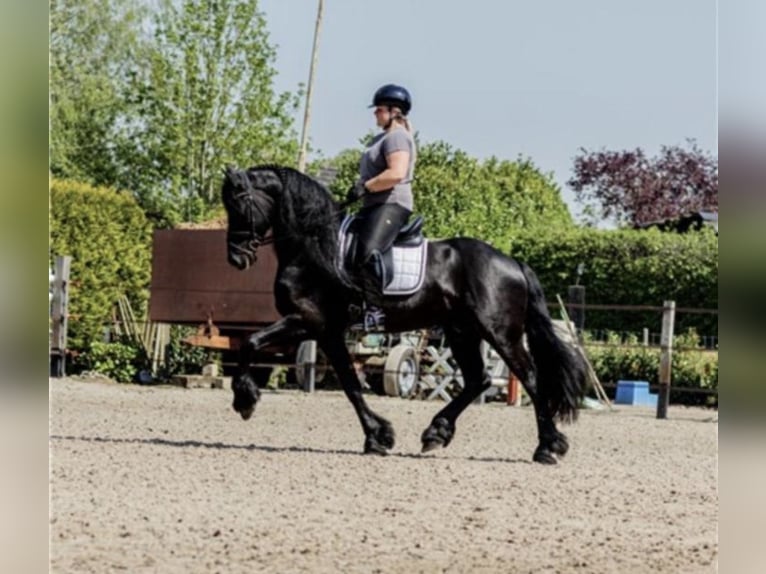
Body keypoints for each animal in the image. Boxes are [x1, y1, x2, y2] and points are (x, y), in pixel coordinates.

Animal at [222, 164, 588, 466]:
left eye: (239, 204)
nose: (236, 259)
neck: (312, 248)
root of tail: (512, 262)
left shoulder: (308, 321)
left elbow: (250, 343)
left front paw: (245, 400)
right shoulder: (328, 332)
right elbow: (351, 385)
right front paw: (378, 436)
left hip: (500, 333)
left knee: (530, 378)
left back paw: (547, 447)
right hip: (462, 331)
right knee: (477, 379)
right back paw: (436, 433)